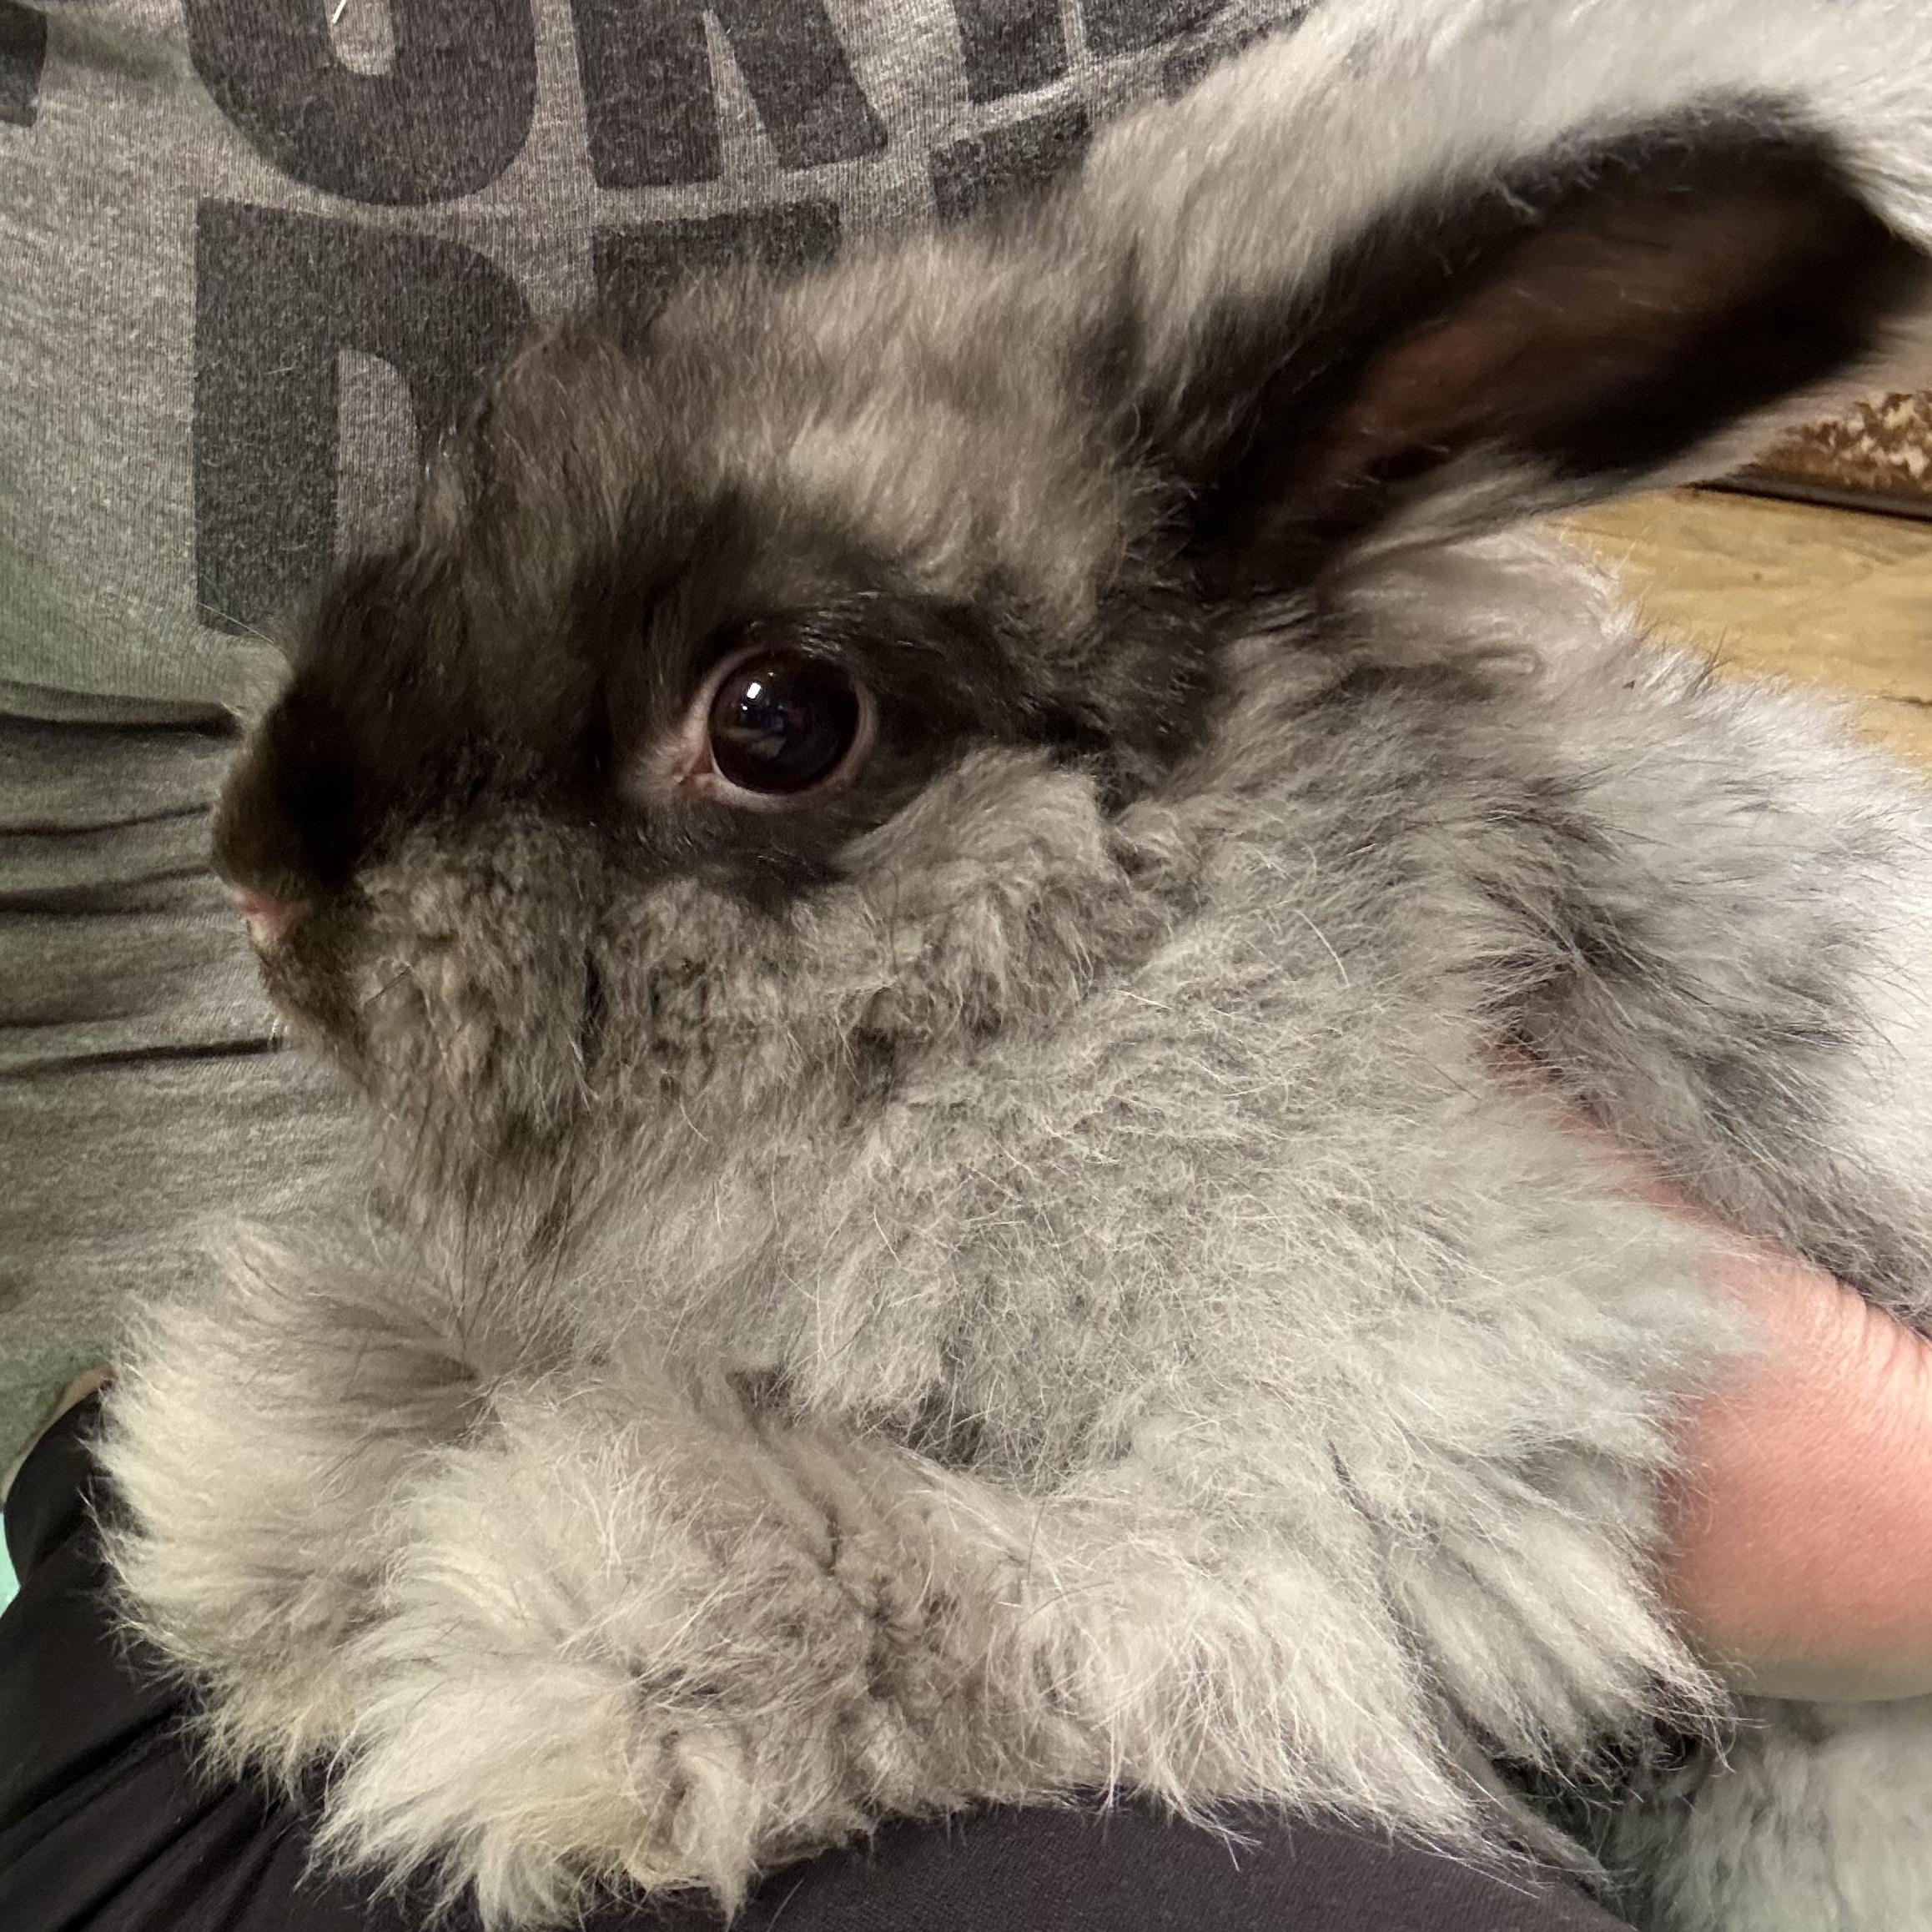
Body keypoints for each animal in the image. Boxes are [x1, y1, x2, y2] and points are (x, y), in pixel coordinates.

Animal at [99, 1, 1932, 1928]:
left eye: (776, 720)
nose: (256, 874)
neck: (1076, 981)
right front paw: (245, 1501)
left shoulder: (1351, 1495)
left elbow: (927, 1596)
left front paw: (523, 1652)